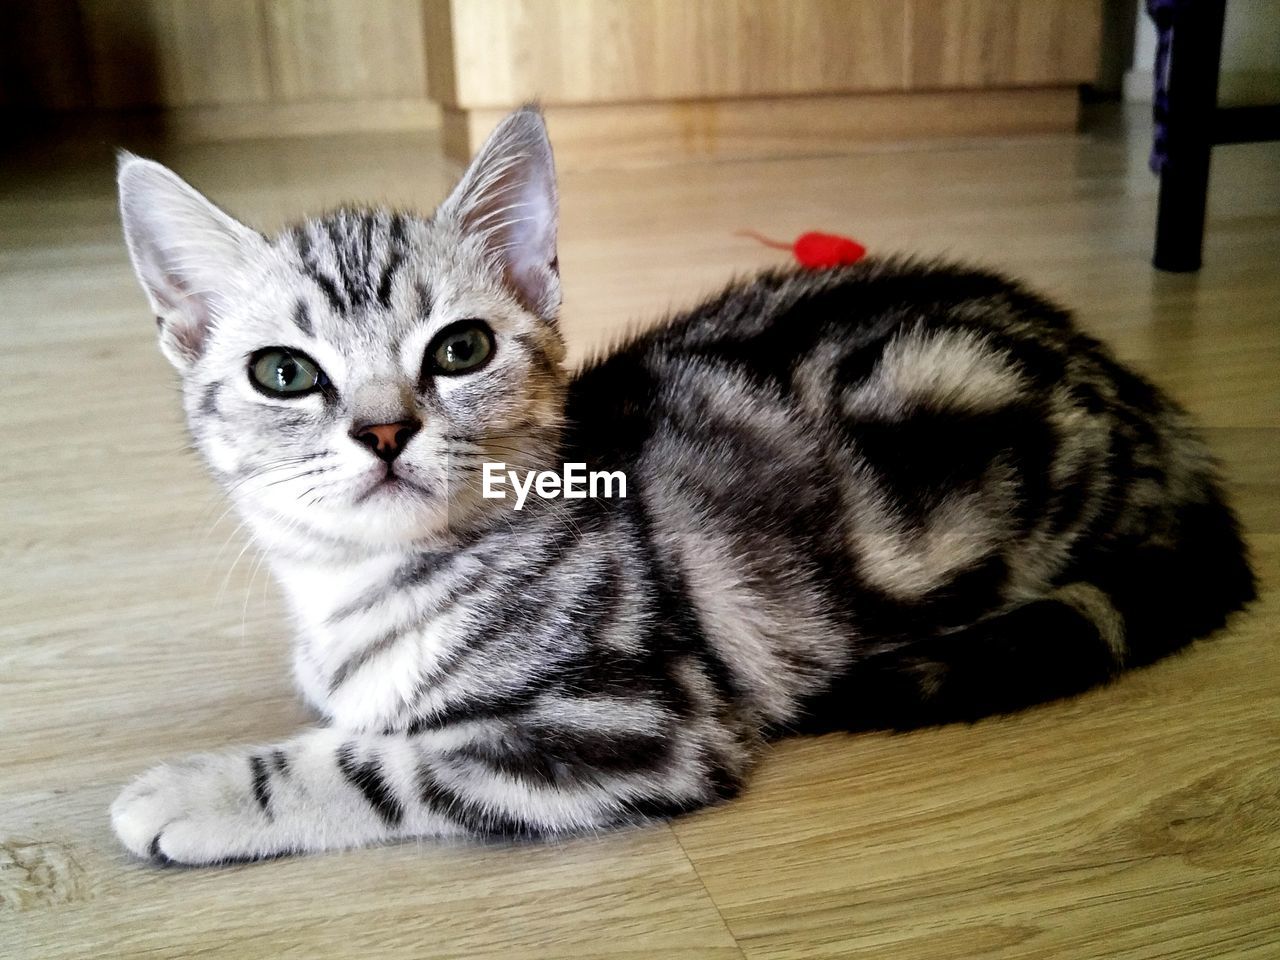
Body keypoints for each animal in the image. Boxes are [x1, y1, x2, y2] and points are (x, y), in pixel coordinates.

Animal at [110, 104, 1249, 865]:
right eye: (284, 373)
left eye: (460, 348)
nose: (384, 428)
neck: (363, 587)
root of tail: (1152, 405)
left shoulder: (643, 725)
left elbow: (381, 762)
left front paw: (199, 789)